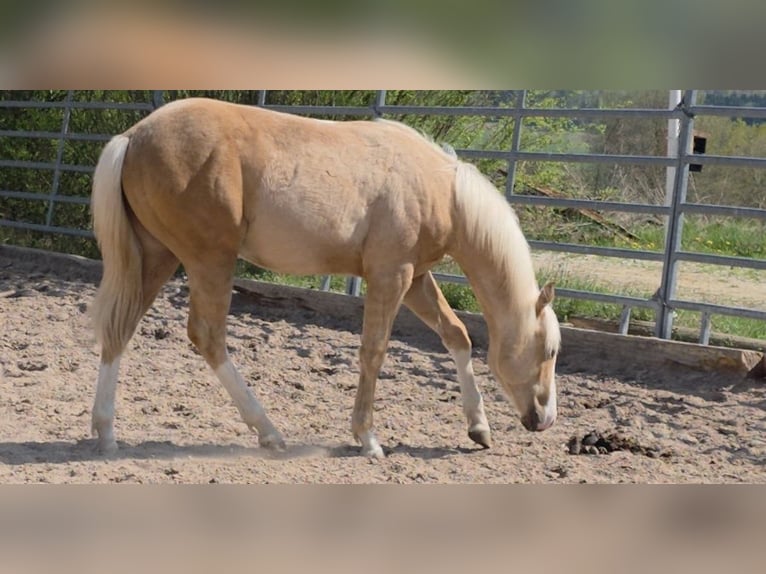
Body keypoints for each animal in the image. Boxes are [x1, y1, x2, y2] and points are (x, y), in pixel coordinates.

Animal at [89, 98, 561, 458]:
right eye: (551, 350)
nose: (544, 419)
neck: (442, 190)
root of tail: (134, 136)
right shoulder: (391, 276)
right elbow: (374, 351)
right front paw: (368, 439)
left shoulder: (416, 279)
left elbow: (457, 336)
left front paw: (479, 428)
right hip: (209, 261)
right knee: (208, 336)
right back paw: (269, 432)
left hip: (158, 256)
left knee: (119, 327)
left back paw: (106, 433)